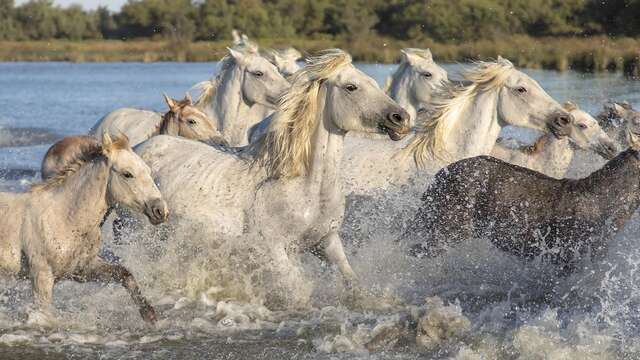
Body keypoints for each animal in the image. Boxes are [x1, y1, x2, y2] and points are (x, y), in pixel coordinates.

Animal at [0, 134, 168, 324]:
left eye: (148, 171)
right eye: (127, 174)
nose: (160, 210)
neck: (64, 217)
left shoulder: (82, 270)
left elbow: (125, 274)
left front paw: (149, 314)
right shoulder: (41, 275)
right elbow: (45, 313)